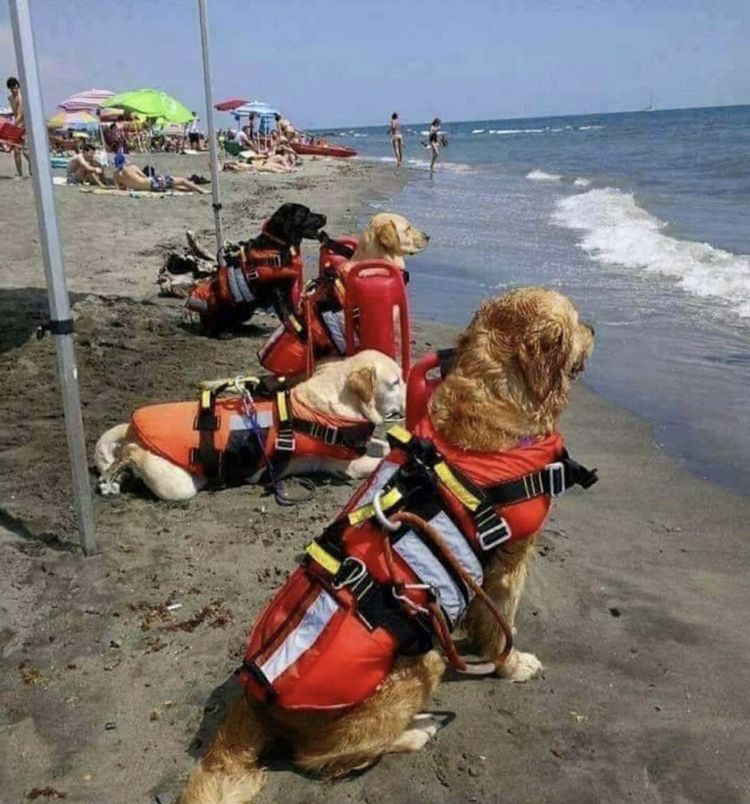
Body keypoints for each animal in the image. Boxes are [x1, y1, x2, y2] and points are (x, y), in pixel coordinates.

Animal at [94, 350, 405, 501]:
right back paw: (113, 473)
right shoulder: (349, 465)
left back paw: (116, 479)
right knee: (131, 453)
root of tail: (131, 427)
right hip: (178, 485)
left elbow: (382, 445)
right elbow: (381, 459)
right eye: (395, 382)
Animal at [178, 287, 595, 802]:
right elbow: (503, 627)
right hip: (423, 661)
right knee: (324, 758)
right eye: (576, 320)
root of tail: (254, 700)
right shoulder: (511, 559)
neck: (490, 398)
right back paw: (416, 731)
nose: (594, 327)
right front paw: (514, 665)